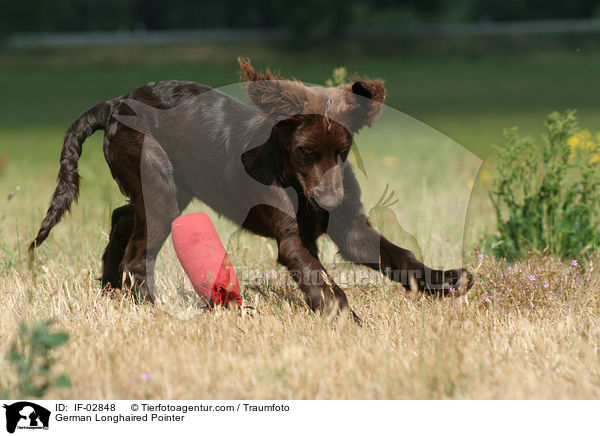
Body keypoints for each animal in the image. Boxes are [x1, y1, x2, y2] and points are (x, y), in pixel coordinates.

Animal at [30, 57, 474, 320]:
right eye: (305, 151)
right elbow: (323, 282)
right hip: (159, 190)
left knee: (122, 218)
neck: (288, 173)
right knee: (137, 257)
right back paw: (156, 312)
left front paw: (446, 279)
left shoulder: (352, 230)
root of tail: (115, 103)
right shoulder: (292, 240)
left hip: (170, 188)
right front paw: (346, 321)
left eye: (343, 150)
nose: (331, 201)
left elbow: (400, 256)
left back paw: (110, 290)